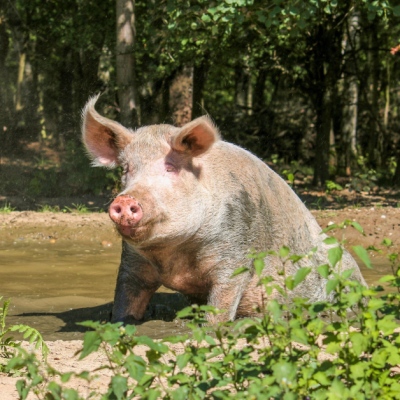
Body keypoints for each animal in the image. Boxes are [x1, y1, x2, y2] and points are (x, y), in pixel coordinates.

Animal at [83, 97, 368, 324]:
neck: (174, 257)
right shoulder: (133, 263)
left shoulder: (234, 254)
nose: (125, 200)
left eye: (171, 167)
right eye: (125, 169)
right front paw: (119, 322)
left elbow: (220, 306)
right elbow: (125, 301)